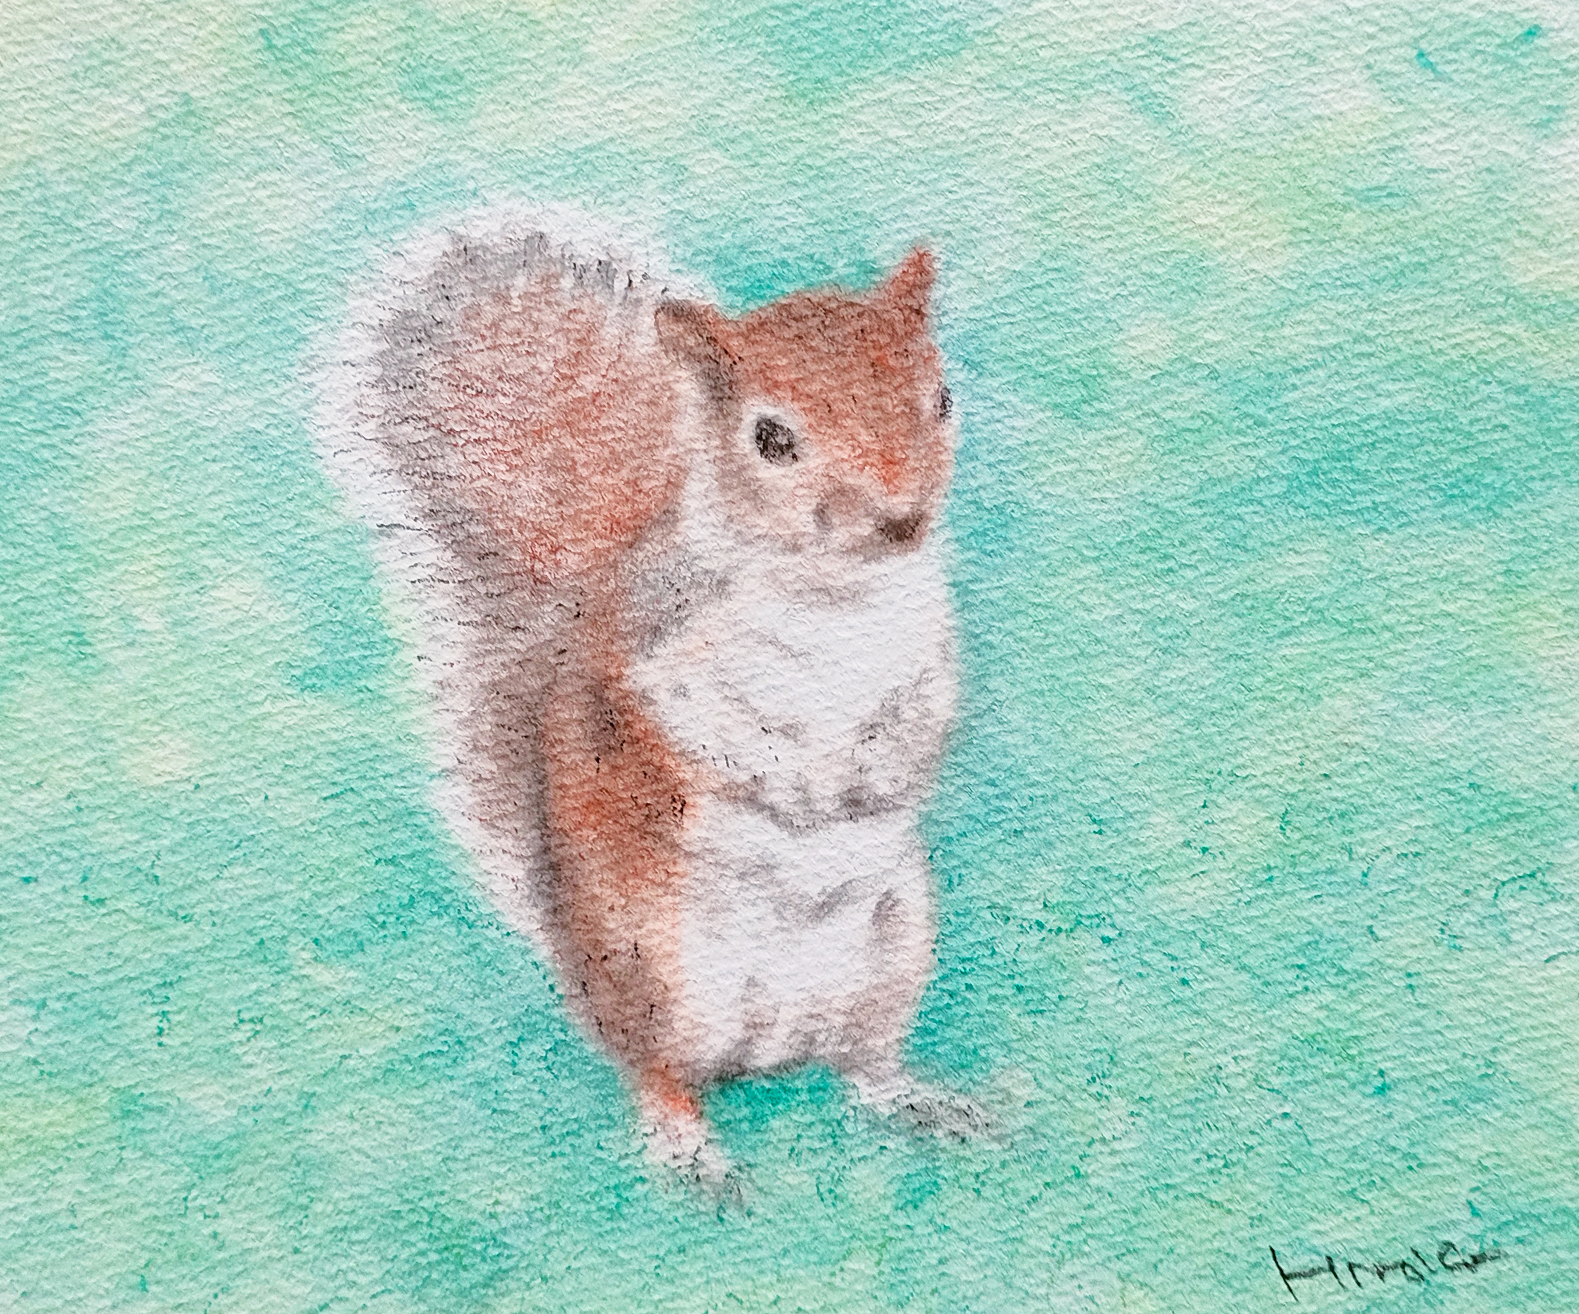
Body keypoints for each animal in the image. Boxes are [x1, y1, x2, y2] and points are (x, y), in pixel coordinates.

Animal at [319, 205, 980, 1193]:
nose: (903, 519)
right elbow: (692, 732)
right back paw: (690, 1152)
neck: (835, 601)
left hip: (891, 957)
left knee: (860, 1065)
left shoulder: (927, 652)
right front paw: (792, 788)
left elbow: (925, 719)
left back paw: (915, 1100)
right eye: (770, 439)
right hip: (660, 977)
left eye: (940, 398)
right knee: (660, 1075)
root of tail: (762, 1056)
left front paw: (874, 774)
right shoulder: (650, 656)